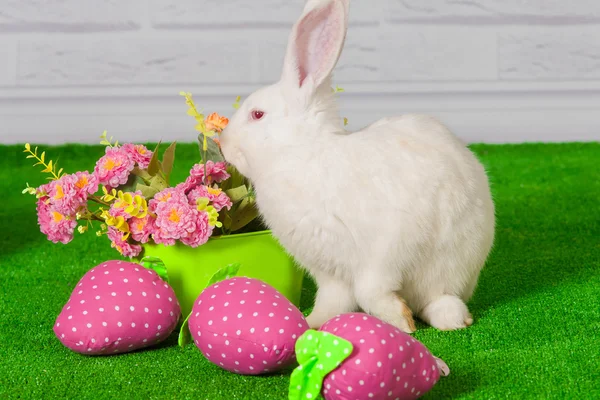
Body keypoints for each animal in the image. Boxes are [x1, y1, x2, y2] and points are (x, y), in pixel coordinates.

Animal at [218, 0, 494, 332]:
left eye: (258, 114)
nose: (222, 142)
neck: (302, 153)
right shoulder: (328, 271)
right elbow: (333, 301)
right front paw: (311, 323)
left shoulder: (386, 248)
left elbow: (370, 289)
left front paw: (400, 322)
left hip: (450, 263)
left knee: (441, 299)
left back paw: (451, 318)